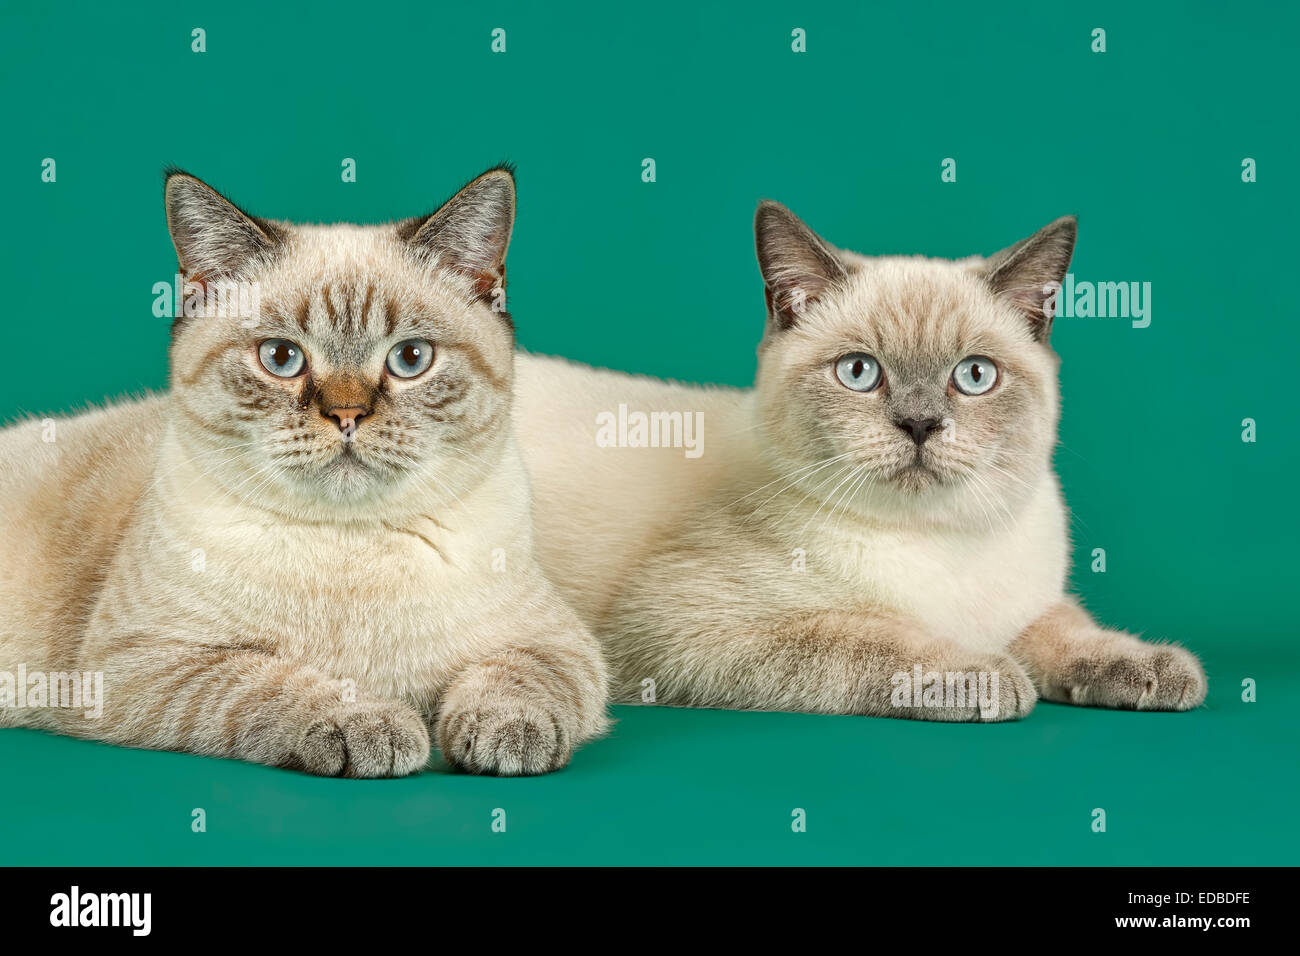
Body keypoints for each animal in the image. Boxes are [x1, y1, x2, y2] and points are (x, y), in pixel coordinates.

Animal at [0, 167, 608, 775]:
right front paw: (373, 726)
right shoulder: (145, 661)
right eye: (281, 358)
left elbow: (521, 679)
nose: (347, 414)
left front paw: (508, 736)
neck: (349, 543)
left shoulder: (557, 640)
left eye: (410, 358)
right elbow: (273, 684)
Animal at [512, 205, 1201, 723]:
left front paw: (1154, 668)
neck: (935, 543)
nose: (920, 425)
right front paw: (986, 675)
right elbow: (870, 638)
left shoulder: (1027, 604)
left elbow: (1067, 627)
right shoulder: (677, 628)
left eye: (974, 376)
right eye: (860, 372)